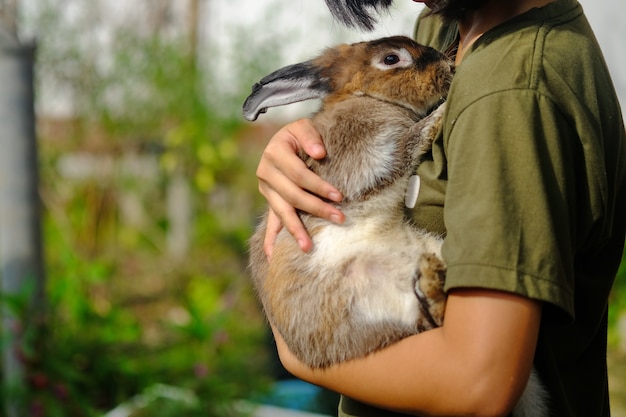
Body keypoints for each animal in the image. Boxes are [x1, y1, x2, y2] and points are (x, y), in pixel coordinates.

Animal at [241, 36, 544, 416]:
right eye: (391, 59)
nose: (446, 65)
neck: (370, 98)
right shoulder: (372, 157)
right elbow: (410, 143)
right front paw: (437, 116)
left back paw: (430, 276)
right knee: (429, 321)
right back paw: (430, 280)